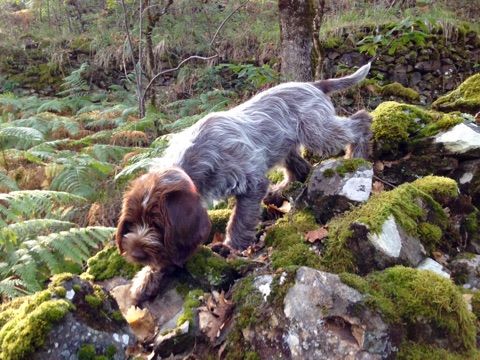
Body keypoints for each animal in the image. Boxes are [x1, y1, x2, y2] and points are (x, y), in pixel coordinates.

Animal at [115, 62, 372, 304]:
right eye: (132, 221)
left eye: (157, 224)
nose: (136, 254)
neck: (194, 158)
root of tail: (313, 85)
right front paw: (146, 279)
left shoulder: (250, 181)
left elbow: (239, 220)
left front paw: (230, 247)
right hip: (286, 144)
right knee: (300, 168)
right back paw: (280, 190)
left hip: (318, 132)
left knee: (360, 120)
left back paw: (357, 154)